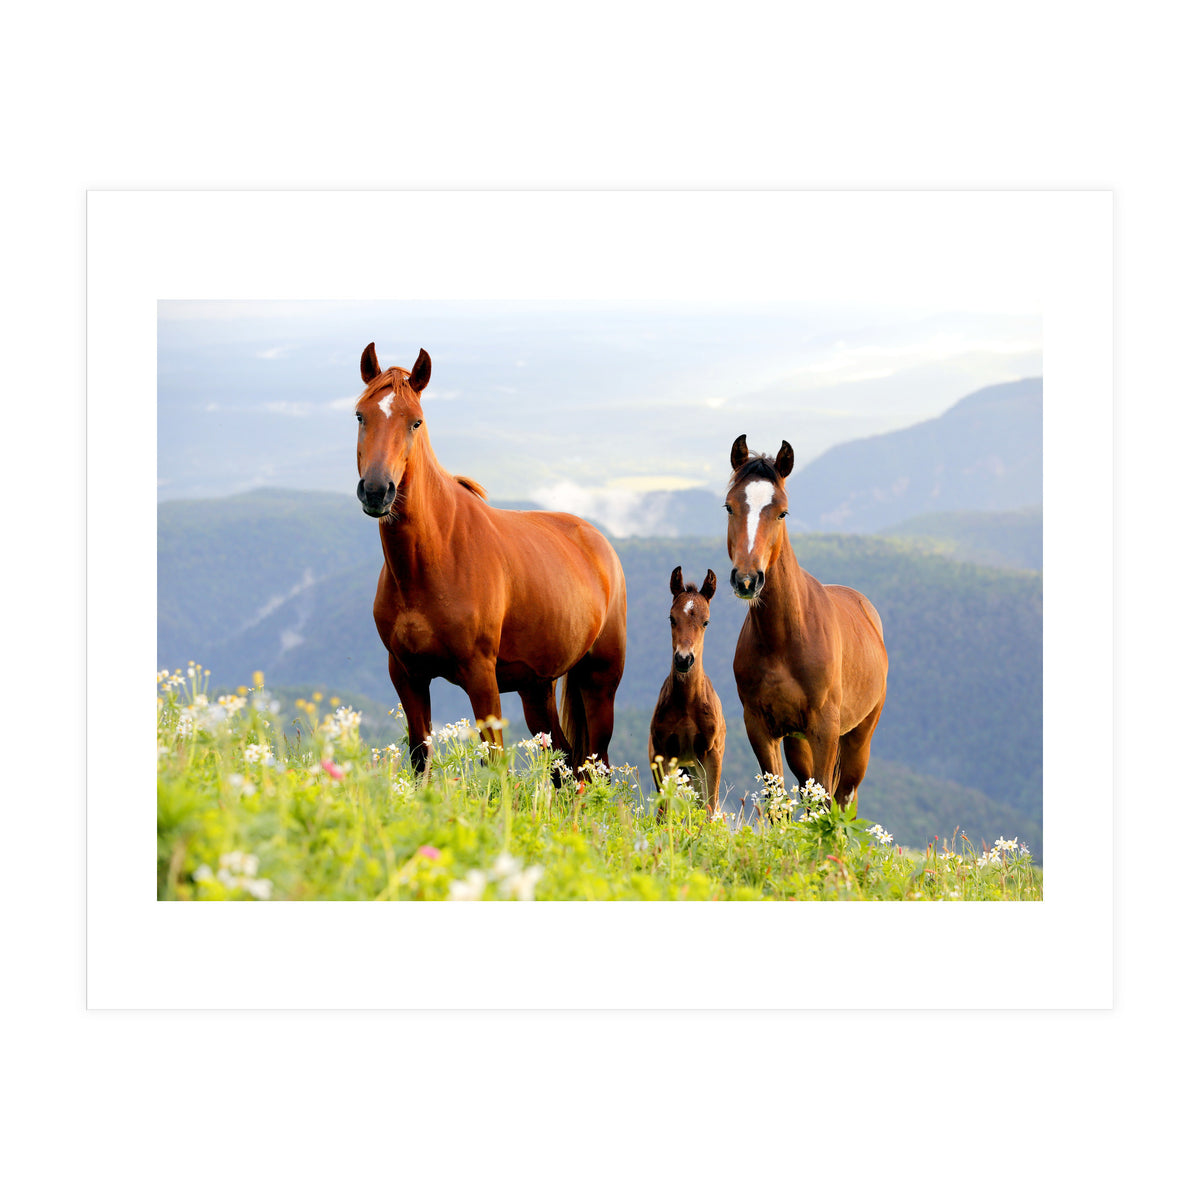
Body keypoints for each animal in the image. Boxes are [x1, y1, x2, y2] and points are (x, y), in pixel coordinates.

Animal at [354, 343, 627, 776]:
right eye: (361, 415)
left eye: (415, 422)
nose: (378, 491)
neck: (432, 560)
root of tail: (600, 543)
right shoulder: (407, 674)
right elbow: (420, 757)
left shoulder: (480, 676)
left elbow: (495, 764)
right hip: (537, 688)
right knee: (565, 762)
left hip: (600, 681)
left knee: (594, 765)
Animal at [648, 567, 726, 816]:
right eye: (672, 618)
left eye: (706, 622)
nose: (684, 659)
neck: (687, 704)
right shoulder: (662, 753)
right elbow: (664, 810)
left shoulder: (711, 754)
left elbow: (710, 808)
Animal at [724, 435, 888, 810]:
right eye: (729, 507)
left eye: (782, 511)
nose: (747, 580)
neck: (784, 639)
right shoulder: (761, 728)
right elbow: (777, 801)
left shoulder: (824, 729)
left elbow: (826, 799)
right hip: (797, 742)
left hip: (859, 736)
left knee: (844, 796)